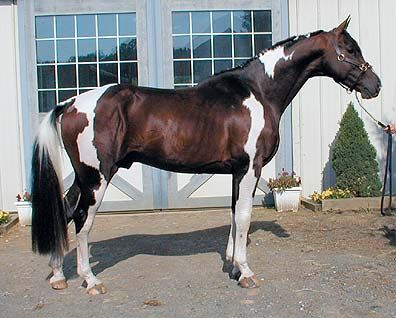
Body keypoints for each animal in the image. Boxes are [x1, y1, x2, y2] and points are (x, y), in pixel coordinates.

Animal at [31, 18, 380, 296]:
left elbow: (234, 215)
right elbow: (244, 216)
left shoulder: (237, 171)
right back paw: (90, 281)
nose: (375, 85)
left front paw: (234, 266)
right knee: (81, 220)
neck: (258, 92)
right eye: (349, 49)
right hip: (98, 176)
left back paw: (58, 276)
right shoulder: (249, 168)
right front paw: (246, 273)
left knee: (65, 210)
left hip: (83, 177)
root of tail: (71, 103)